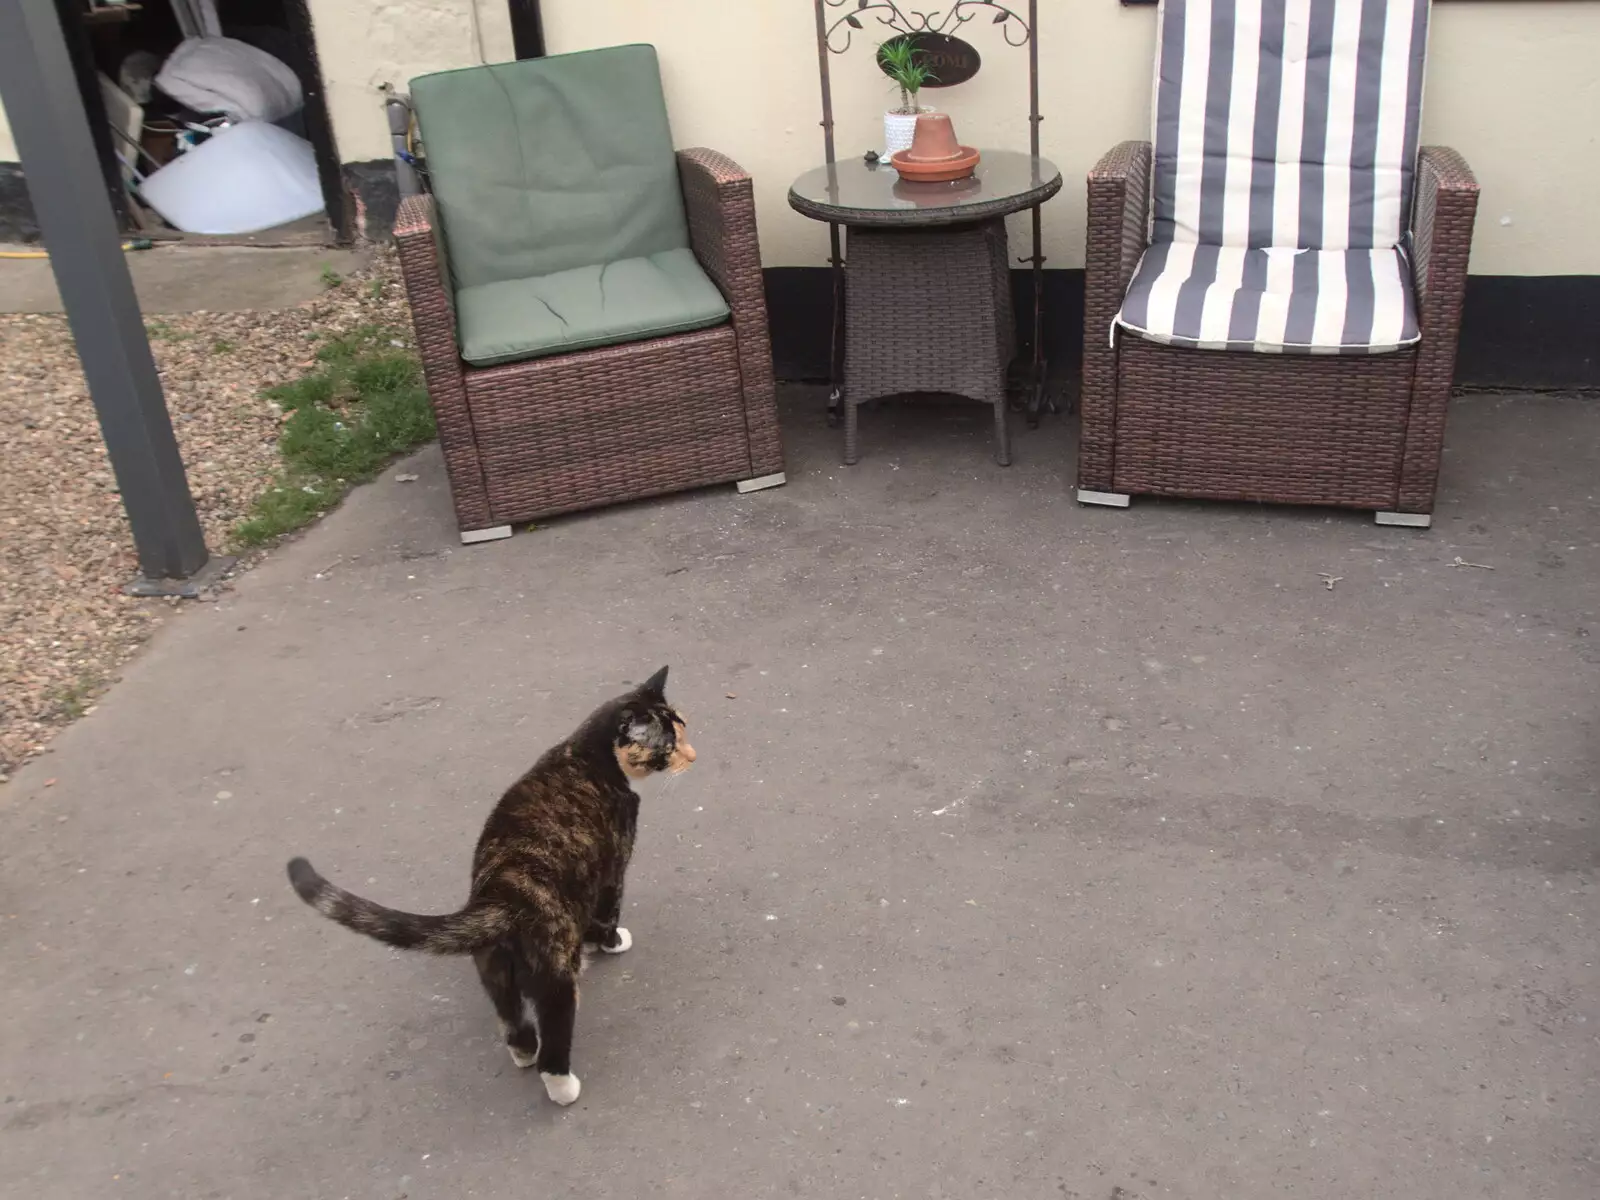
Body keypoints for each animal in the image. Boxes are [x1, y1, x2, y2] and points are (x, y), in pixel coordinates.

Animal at [291, 668, 691, 1107]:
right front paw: (612, 941)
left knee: (514, 1026)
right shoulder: (612, 865)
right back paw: (563, 1088)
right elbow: (607, 912)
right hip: (553, 980)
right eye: (668, 745)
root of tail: (501, 896)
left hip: (494, 970)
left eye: (684, 730)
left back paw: (524, 1052)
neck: (587, 755)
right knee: (553, 1039)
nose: (692, 756)